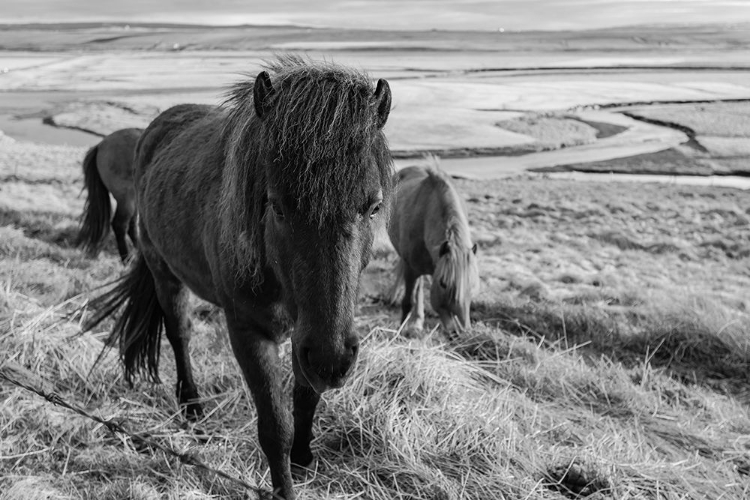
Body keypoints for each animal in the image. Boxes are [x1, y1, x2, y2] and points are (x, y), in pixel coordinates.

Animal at [83, 55, 394, 500]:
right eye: (277, 207)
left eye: (373, 206)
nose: (333, 360)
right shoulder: (250, 332)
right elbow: (274, 427)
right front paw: (285, 485)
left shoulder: (307, 334)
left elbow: (305, 397)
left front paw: (303, 457)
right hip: (165, 273)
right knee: (179, 334)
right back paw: (192, 406)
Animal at [390, 164, 478, 334]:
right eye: (443, 284)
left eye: (472, 285)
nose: (460, 332)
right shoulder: (411, 270)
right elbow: (407, 302)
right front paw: (399, 332)